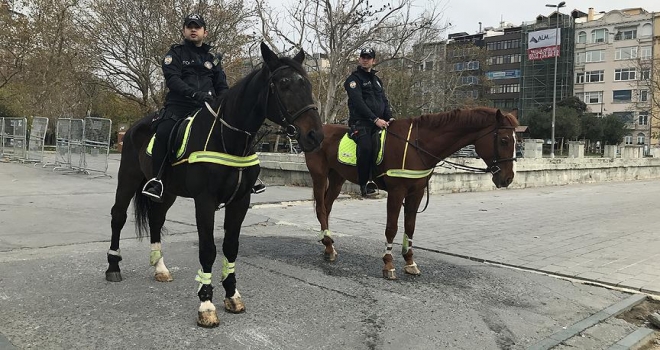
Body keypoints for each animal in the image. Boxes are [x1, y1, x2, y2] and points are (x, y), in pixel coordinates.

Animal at [105, 42, 324, 326]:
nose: (315, 136)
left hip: (168, 192)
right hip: (128, 179)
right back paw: (113, 266)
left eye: (306, 83)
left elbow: (230, 247)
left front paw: (232, 295)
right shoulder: (205, 202)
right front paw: (206, 304)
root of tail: (134, 127)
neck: (228, 137)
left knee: (156, 219)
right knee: (118, 216)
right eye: (284, 83)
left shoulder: (240, 201)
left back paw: (160, 267)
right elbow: (208, 250)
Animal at [306, 106, 520, 278]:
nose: (508, 178)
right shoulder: (396, 192)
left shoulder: (416, 192)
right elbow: (391, 228)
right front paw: (388, 264)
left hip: (337, 177)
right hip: (320, 176)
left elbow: (410, 226)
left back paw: (328, 245)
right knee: (321, 209)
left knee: (327, 206)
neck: (417, 146)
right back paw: (328, 245)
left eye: (515, 140)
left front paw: (409, 262)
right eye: (504, 140)